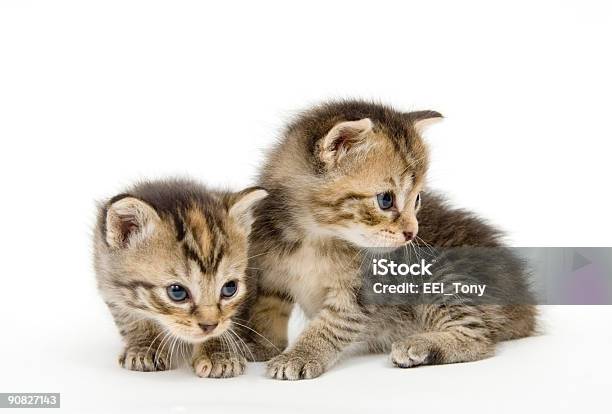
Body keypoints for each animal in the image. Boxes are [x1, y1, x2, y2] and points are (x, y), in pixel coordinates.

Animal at [94, 178, 266, 378]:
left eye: (230, 288)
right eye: (177, 292)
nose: (209, 325)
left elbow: (232, 319)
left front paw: (218, 353)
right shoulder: (108, 279)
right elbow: (130, 317)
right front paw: (144, 346)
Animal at [247, 99, 536, 378]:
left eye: (417, 199)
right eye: (386, 200)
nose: (412, 233)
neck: (317, 237)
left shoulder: (365, 289)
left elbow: (334, 323)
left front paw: (301, 354)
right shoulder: (268, 268)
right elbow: (267, 307)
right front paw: (261, 345)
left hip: (444, 276)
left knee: (478, 336)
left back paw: (419, 345)